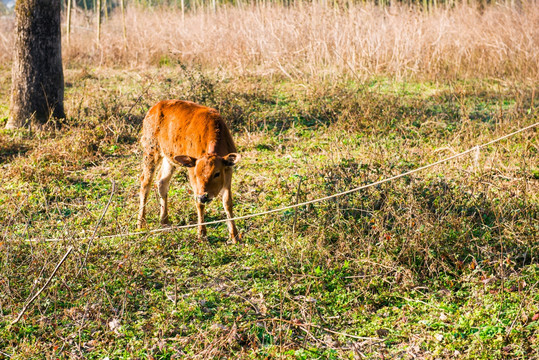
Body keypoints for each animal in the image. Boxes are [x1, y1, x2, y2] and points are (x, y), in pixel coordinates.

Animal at [138, 100, 242, 242]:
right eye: (197, 174)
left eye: (217, 173)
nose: (204, 196)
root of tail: (155, 107)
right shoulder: (191, 172)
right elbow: (199, 204)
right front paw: (202, 233)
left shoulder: (228, 171)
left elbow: (227, 203)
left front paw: (235, 236)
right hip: (151, 151)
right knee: (145, 183)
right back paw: (141, 222)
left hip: (169, 159)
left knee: (162, 182)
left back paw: (164, 220)